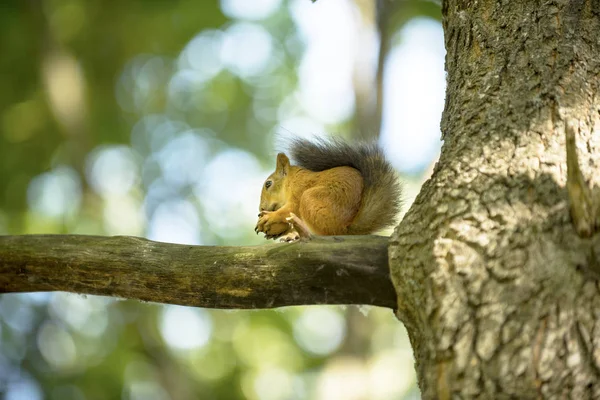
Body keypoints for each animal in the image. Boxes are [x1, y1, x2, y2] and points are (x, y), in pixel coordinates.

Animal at [254, 136, 404, 242]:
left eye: (268, 184)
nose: (261, 208)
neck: (291, 181)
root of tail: (346, 228)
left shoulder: (299, 190)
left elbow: (289, 209)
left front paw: (270, 217)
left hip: (311, 200)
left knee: (326, 233)